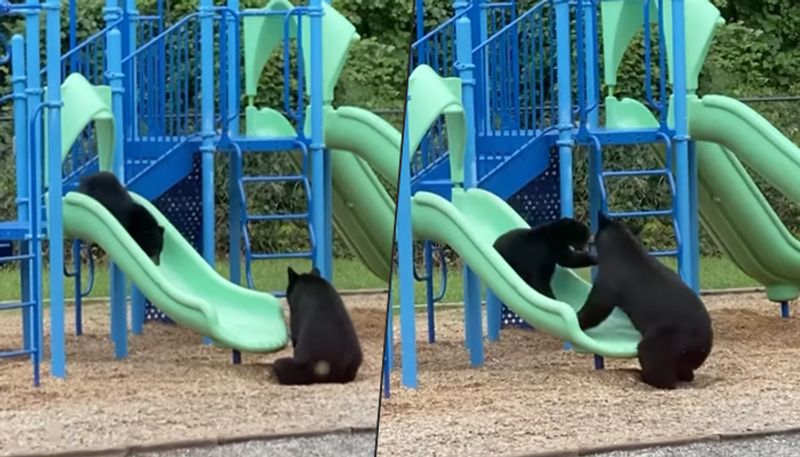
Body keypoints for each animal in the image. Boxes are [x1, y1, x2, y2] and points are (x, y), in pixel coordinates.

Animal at [576, 211, 712, 388]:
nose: (590, 238)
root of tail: (704, 343)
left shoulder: (610, 279)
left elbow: (597, 306)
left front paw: (578, 317)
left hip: (669, 337)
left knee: (653, 356)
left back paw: (642, 375)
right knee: (684, 369)